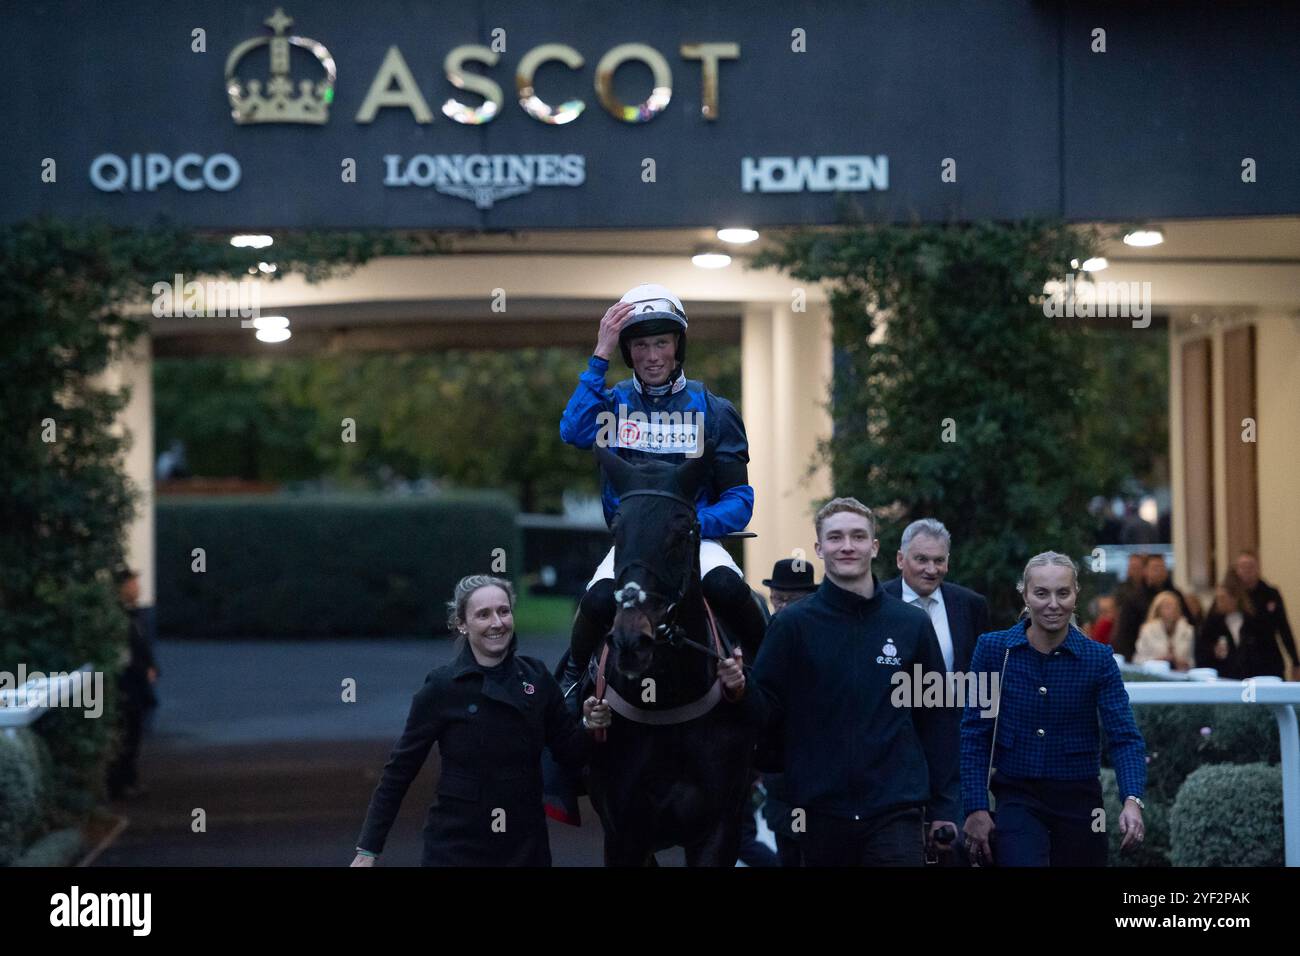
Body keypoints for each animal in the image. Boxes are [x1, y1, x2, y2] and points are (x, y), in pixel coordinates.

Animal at [582, 447, 759, 868]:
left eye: (682, 533)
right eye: (617, 530)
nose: (632, 640)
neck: (668, 700)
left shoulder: (720, 829)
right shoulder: (624, 835)